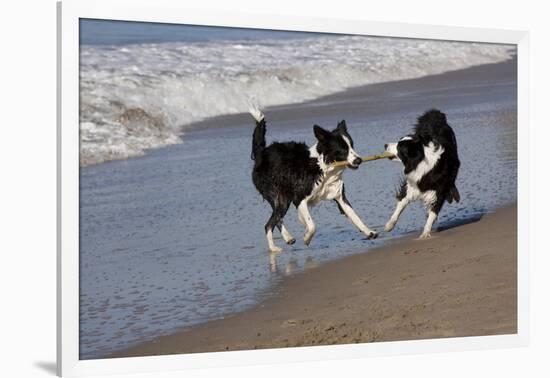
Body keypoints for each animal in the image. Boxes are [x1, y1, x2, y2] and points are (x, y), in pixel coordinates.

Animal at [251, 106, 378, 254]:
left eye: (352, 146)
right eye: (342, 149)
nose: (359, 160)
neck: (323, 167)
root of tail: (261, 153)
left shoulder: (340, 197)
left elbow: (355, 216)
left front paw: (369, 232)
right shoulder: (299, 199)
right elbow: (312, 225)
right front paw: (307, 238)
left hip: (281, 199)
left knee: (276, 219)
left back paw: (288, 238)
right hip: (279, 197)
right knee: (269, 224)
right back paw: (273, 248)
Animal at [386, 109, 464, 239]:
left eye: (399, 147)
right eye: (399, 140)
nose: (385, 145)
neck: (421, 158)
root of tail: (435, 115)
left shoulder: (439, 191)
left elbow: (433, 211)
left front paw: (425, 233)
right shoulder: (412, 184)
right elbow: (402, 202)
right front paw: (389, 225)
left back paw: (453, 194)